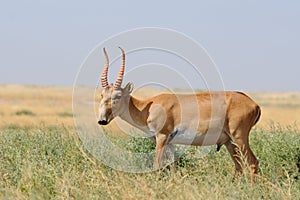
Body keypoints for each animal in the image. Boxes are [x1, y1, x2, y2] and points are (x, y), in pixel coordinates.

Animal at [96, 47, 260, 184]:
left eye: (117, 96)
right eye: (102, 94)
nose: (102, 120)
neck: (149, 106)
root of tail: (254, 104)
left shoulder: (162, 137)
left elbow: (157, 164)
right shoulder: (169, 142)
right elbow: (172, 166)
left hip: (239, 137)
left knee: (253, 162)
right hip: (229, 142)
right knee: (239, 166)